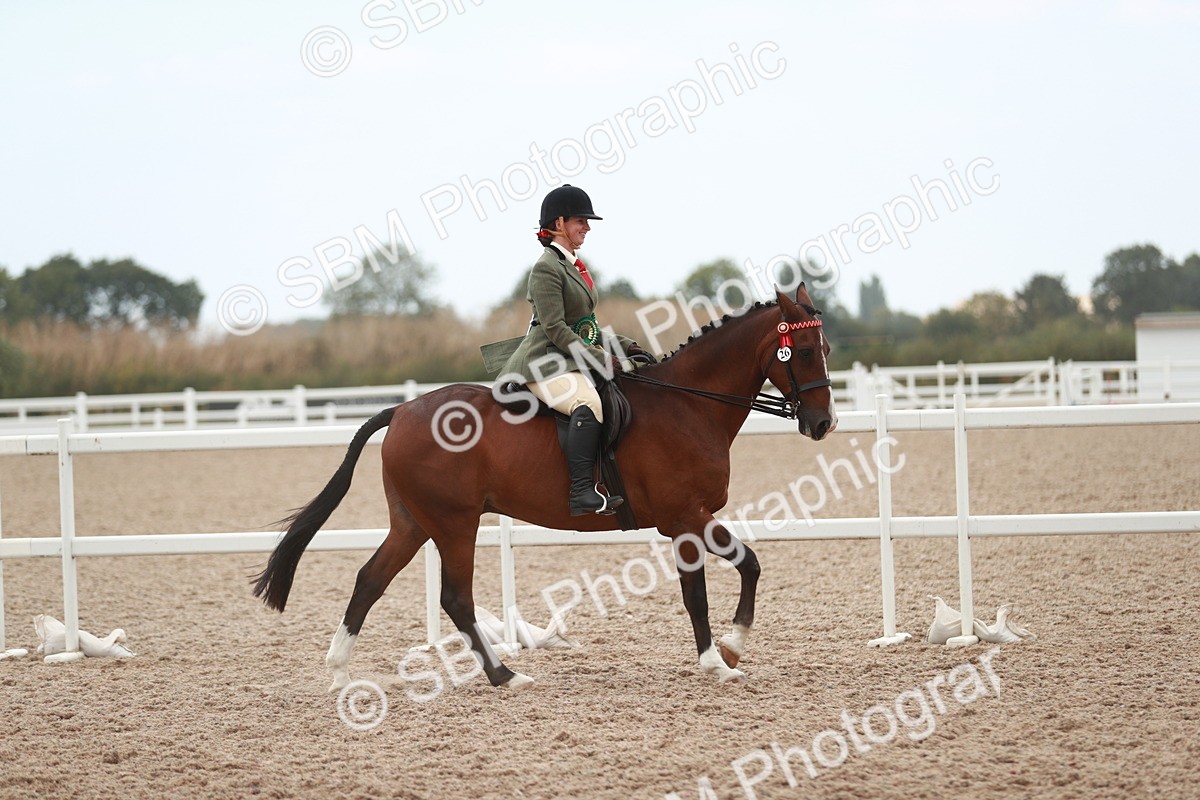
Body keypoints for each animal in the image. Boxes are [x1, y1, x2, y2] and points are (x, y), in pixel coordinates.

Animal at [252, 285, 836, 691]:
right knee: (454, 597)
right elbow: (730, 575)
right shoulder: (686, 517)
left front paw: (720, 657)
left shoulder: (684, 523)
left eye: (826, 346)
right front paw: (727, 655)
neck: (688, 406)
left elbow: (717, 582)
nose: (823, 424)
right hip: (455, 523)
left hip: (414, 521)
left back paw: (340, 674)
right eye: (804, 352)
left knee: (370, 580)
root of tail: (402, 410)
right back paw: (505, 676)